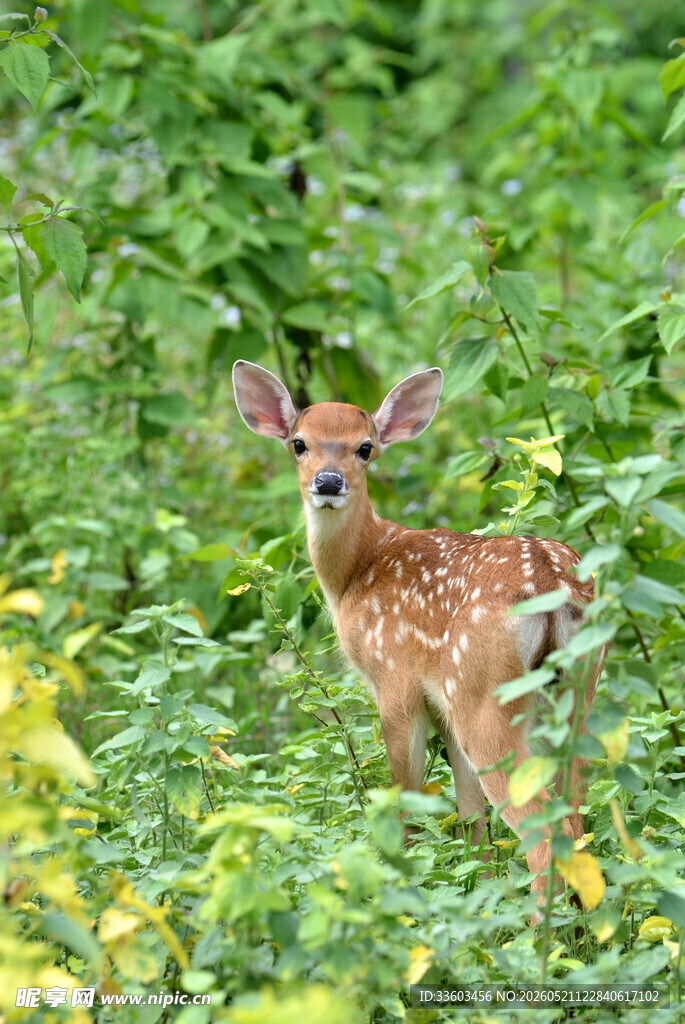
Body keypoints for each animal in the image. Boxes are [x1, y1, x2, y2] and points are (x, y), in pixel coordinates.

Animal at [232, 359, 605, 911]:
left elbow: (403, 806)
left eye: (365, 447)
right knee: (577, 821)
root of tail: (551, 582)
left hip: (484, 695)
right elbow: (471, 820)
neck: (357, 571)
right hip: (578, 695)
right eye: (299, 443)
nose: (328, 481)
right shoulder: (441, 703)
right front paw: (474, 886)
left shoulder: (395, 681)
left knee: (543, 831)